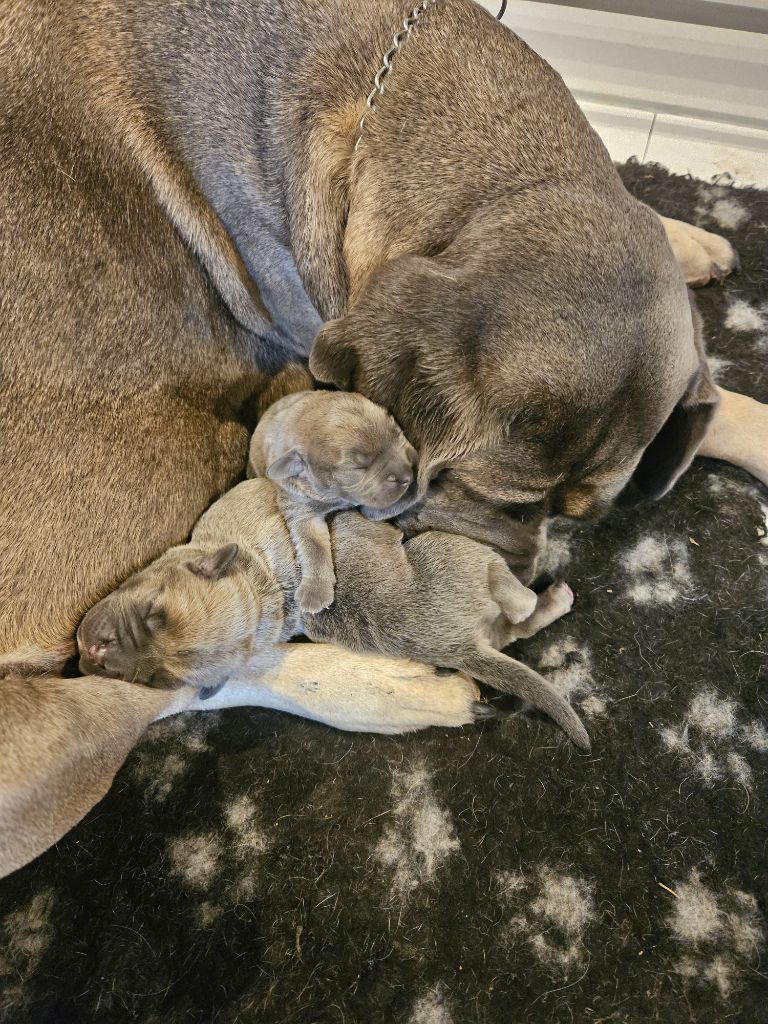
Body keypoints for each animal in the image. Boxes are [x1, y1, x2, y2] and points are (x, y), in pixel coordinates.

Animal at [78, 479, 589, 753]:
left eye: (153, 610)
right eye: (156, 681)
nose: (94, 654)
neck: (260, 583)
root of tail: (461, 646)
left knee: (514, 624)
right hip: (453, 551)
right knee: (514, 601)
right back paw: (545, 595)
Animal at [247, 389, 417, 614]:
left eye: (397, 432)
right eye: (358, 468)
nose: (407, 475)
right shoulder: (301, 511)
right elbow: (314, 548)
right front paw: (316, 590)